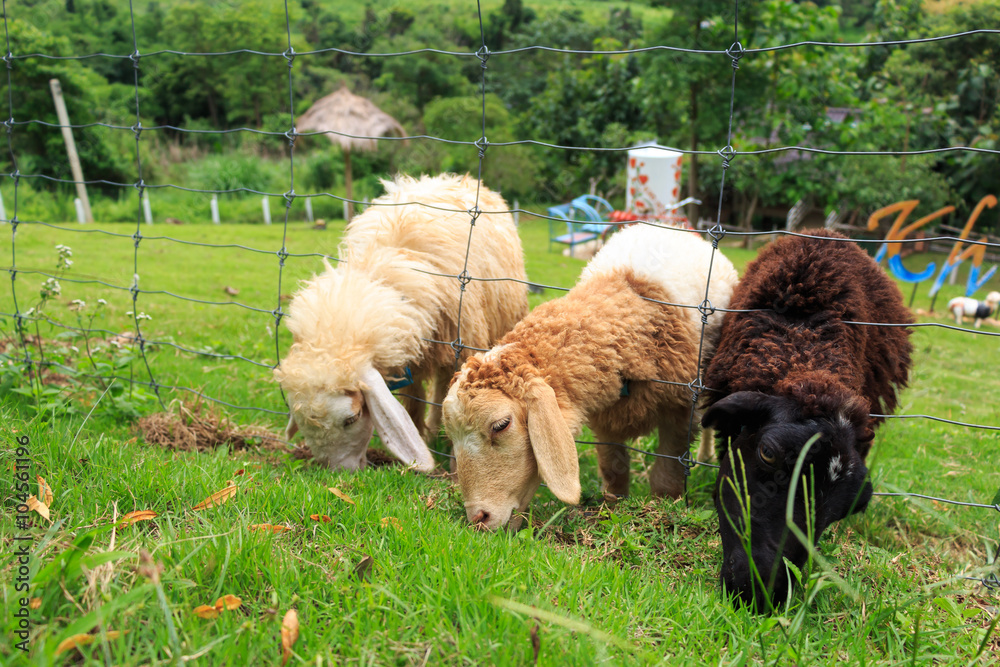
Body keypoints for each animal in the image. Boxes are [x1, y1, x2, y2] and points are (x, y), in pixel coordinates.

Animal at [270, 175, 528, 472]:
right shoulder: (410, 360)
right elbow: (413, 403)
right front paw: (421, 440)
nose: (342, 472)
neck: (386, 270)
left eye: (352, 418)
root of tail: (458, 177)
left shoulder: (462, 345)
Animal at [442, 226, 740, 532]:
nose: (478, 519)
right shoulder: (606, 416)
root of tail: (682, 230)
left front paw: (662, 509)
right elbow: (614, 470)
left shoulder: (679, 410)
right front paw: (614, 507)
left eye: (501, 425)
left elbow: (666, 477)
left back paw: (705, 455)